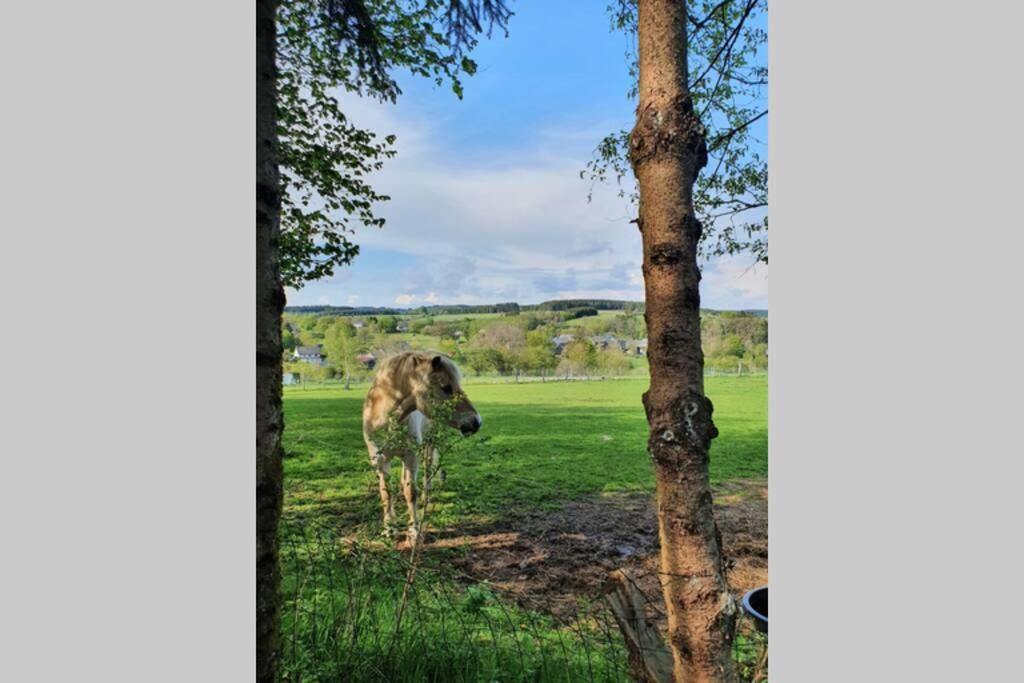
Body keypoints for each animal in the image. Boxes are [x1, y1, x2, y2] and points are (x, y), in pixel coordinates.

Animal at [362, 352, 481, 544]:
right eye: (446, 387)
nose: (476, 422)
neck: (384, 418)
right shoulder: (379, 459)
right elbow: (386, 492)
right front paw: (389, 528)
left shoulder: (411, 456)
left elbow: (411, 492)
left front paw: (414, 532)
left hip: (428, 444)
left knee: (428, 468)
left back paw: (427, 496)